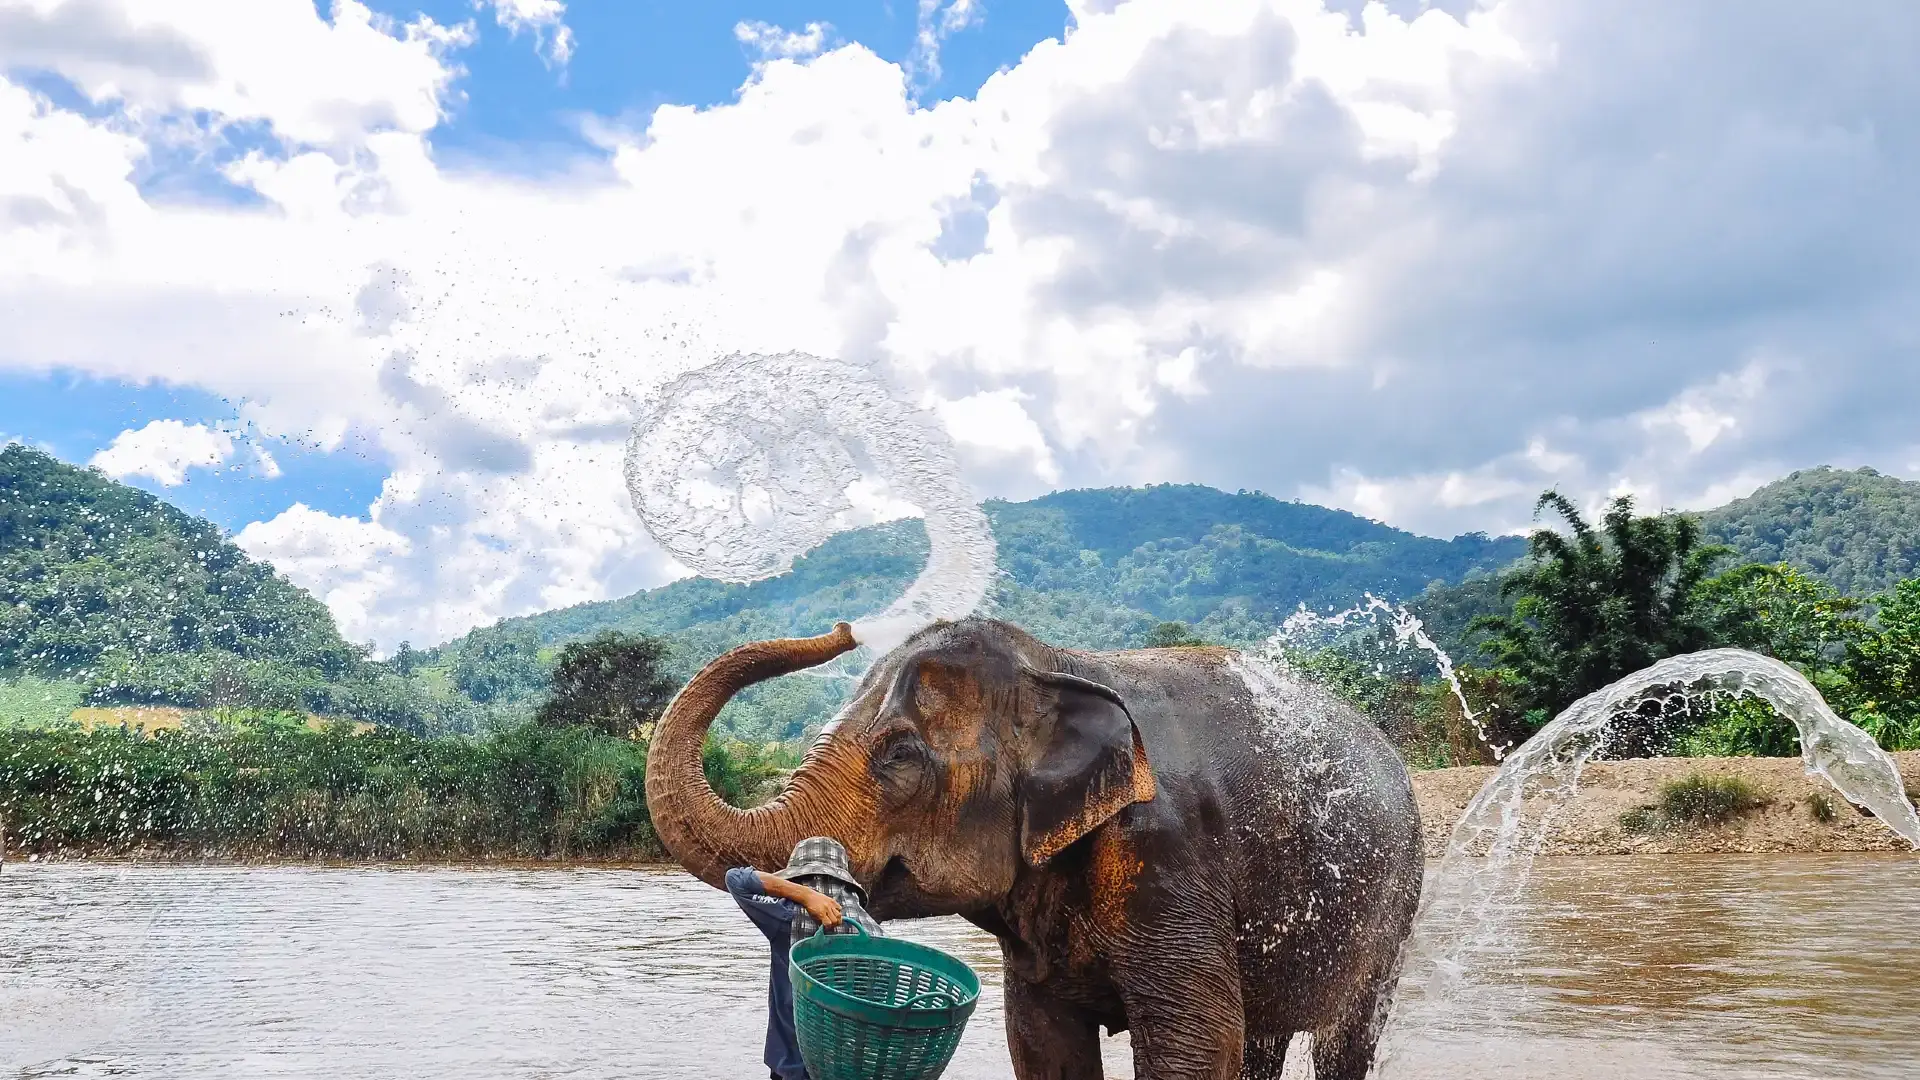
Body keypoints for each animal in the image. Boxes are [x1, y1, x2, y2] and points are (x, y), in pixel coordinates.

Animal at [645, 617, 1423, 1080]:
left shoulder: (1170, 855)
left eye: (899, 754)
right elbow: (1041, 1040)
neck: (1055, 662)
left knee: (1342, 1039)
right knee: (1263, 1037)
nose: (844, 628)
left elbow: (1195, 1041)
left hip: (1393, 912)